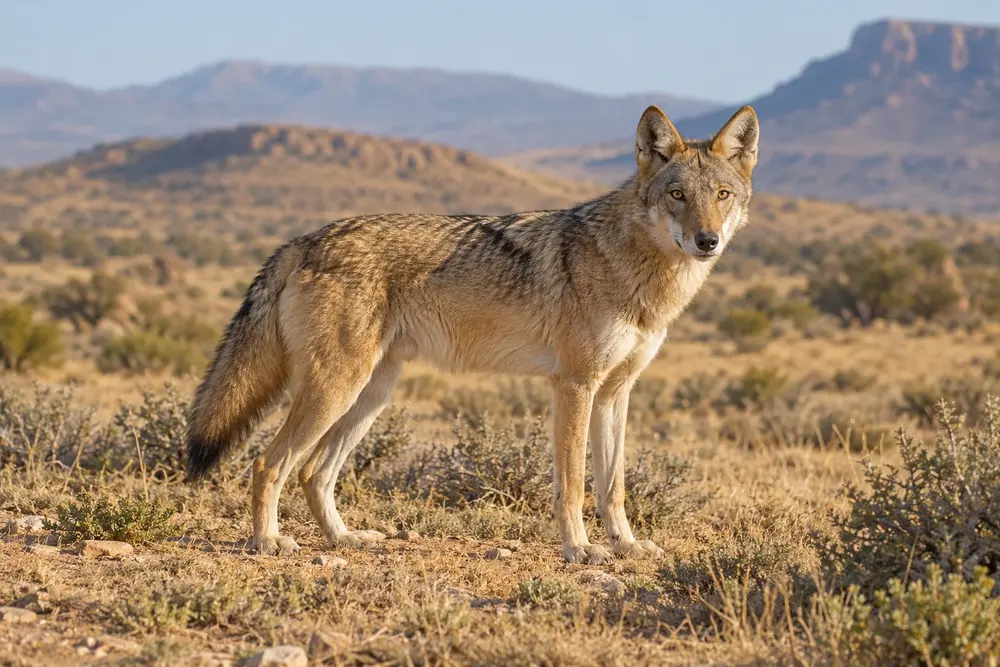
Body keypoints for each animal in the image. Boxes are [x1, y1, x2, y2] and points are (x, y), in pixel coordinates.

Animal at [184, 104, 759, 564]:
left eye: (722, 195)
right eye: (677, 194)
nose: (707, 241)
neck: (637, 271)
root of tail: (304, 239)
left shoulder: (616, 391)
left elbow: (612, 486)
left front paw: (627, 545)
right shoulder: (574, 385)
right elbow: (573, 485)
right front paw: (580, 549)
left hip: (371, 393)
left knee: (313, 473)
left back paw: (344, 539)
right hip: (337, 390)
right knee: (268, 463)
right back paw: (267, 543)